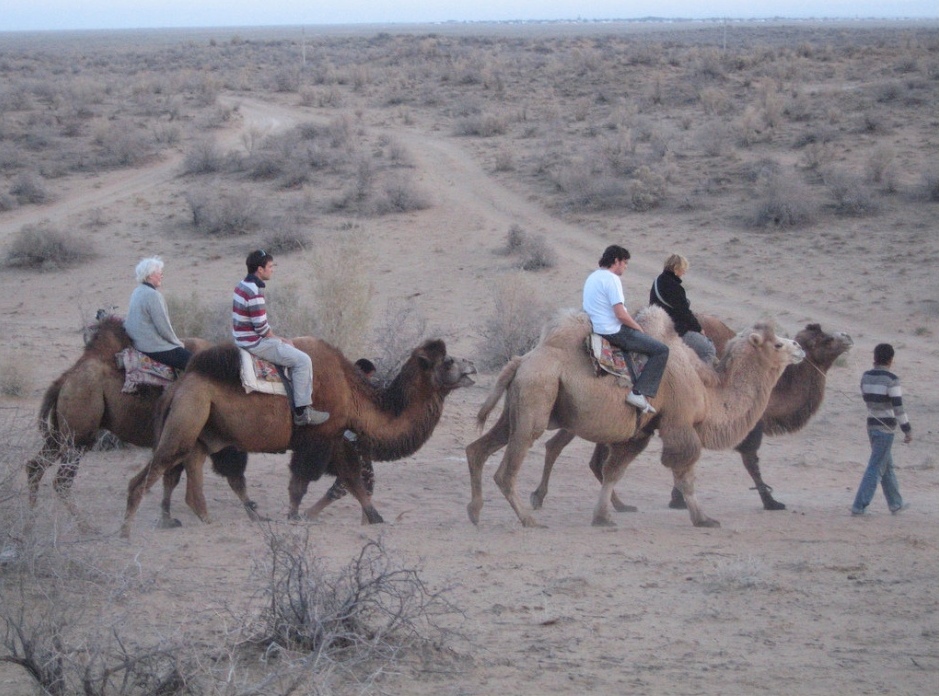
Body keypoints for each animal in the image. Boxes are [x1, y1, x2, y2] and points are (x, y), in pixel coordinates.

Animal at [123, 338, 478, 540]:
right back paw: (129, 528)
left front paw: (374, 518)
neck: (354, 394)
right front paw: (296, 517)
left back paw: (201, 518)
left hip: (206, 429)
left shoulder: (336, 440)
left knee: (191, 466)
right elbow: (305, 482)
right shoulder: (319, 439)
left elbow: (352, 481)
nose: (472, 368)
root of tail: (176, 388)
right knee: (156, 471)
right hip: (188, 418)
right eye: (448, 361)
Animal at [466, 308, 804, 532]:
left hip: (519, 404)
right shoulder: (679, 424)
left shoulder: (639, 433)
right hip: (537, 396)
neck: (706, 390)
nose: (799, 347)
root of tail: (521, 360)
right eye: (777, 344)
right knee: (507, 468)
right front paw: (704, 518)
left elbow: (613, 472)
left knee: (477, 449)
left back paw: (475, 511)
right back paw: (529, 518)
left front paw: (603, 516)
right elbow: (685, 475)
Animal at [528, 316, 852, 512]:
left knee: (573, 452)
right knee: (568, 450)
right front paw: (771, 500)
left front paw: (679, 498)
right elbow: (749, 462)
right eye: (825, 340)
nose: (847, 336)